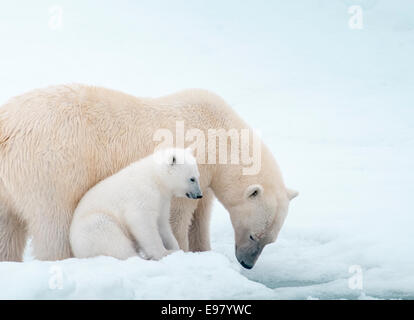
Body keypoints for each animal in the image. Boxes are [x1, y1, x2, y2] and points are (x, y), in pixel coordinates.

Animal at [0, 84, 298, 268]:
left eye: (269, 240)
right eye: (254, 236)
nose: (246, 264)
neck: (220, 133)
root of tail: (8, 127)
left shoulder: (205, 180)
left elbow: (201, 216)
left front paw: (203, 251)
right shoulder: (189, 168)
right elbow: (177, 216)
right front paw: (181, 252)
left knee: (7, 230)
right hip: (51, 169)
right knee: (54, 224)